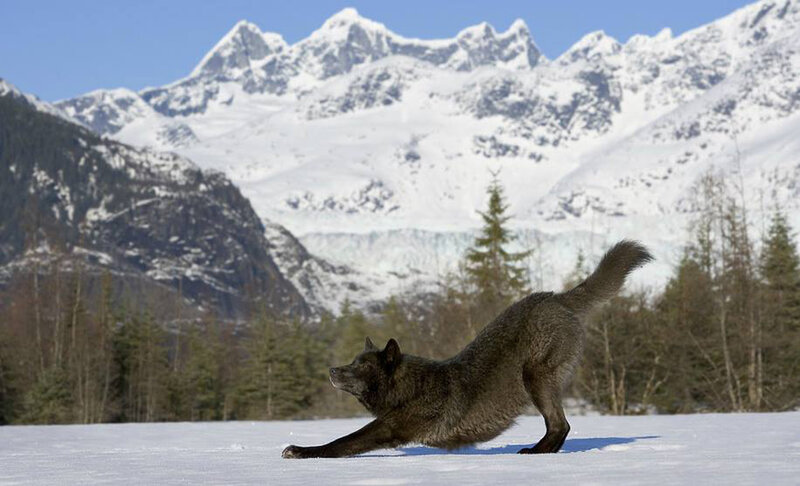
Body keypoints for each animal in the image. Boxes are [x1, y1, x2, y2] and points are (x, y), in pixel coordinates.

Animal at [283, 240, 652, 458]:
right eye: (352, 360)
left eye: (360, 365)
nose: (332, 370)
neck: (411, 388)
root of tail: (556, 297)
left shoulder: (388, 428)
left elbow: (341, 442)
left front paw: (301, 451)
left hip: (534, 376)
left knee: (560, 425)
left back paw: (536, 452)